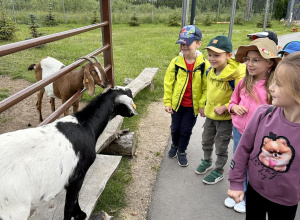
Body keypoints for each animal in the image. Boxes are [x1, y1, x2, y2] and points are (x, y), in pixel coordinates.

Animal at [0, 86, 138, 220]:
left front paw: (79, 214)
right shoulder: (78, 175)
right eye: (129, 95)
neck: (85, 126)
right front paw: (78, 215)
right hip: (14, 209)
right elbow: (70, 202)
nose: (131, 113)